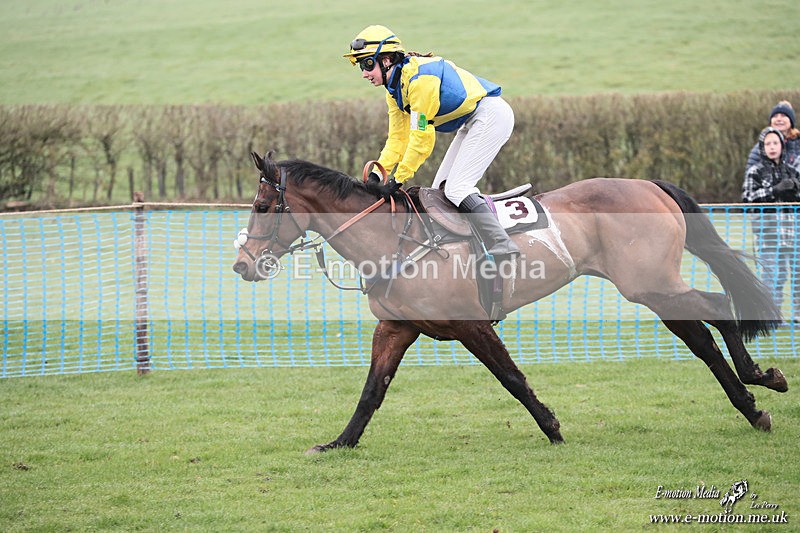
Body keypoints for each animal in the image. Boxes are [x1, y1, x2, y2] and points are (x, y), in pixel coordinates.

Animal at [233, 151, 788, 453]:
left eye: (263, 206)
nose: (242, 265)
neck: (395, 240)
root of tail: (648, 184)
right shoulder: (397, 329)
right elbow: (372, 392)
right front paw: (339, 443)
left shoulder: (472, 326)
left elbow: (513, 379)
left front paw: (552, 427)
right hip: (654, 285)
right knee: (709, 316)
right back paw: (754, 389)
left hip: (649, 283)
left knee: (710, 317)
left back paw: (755, 392)